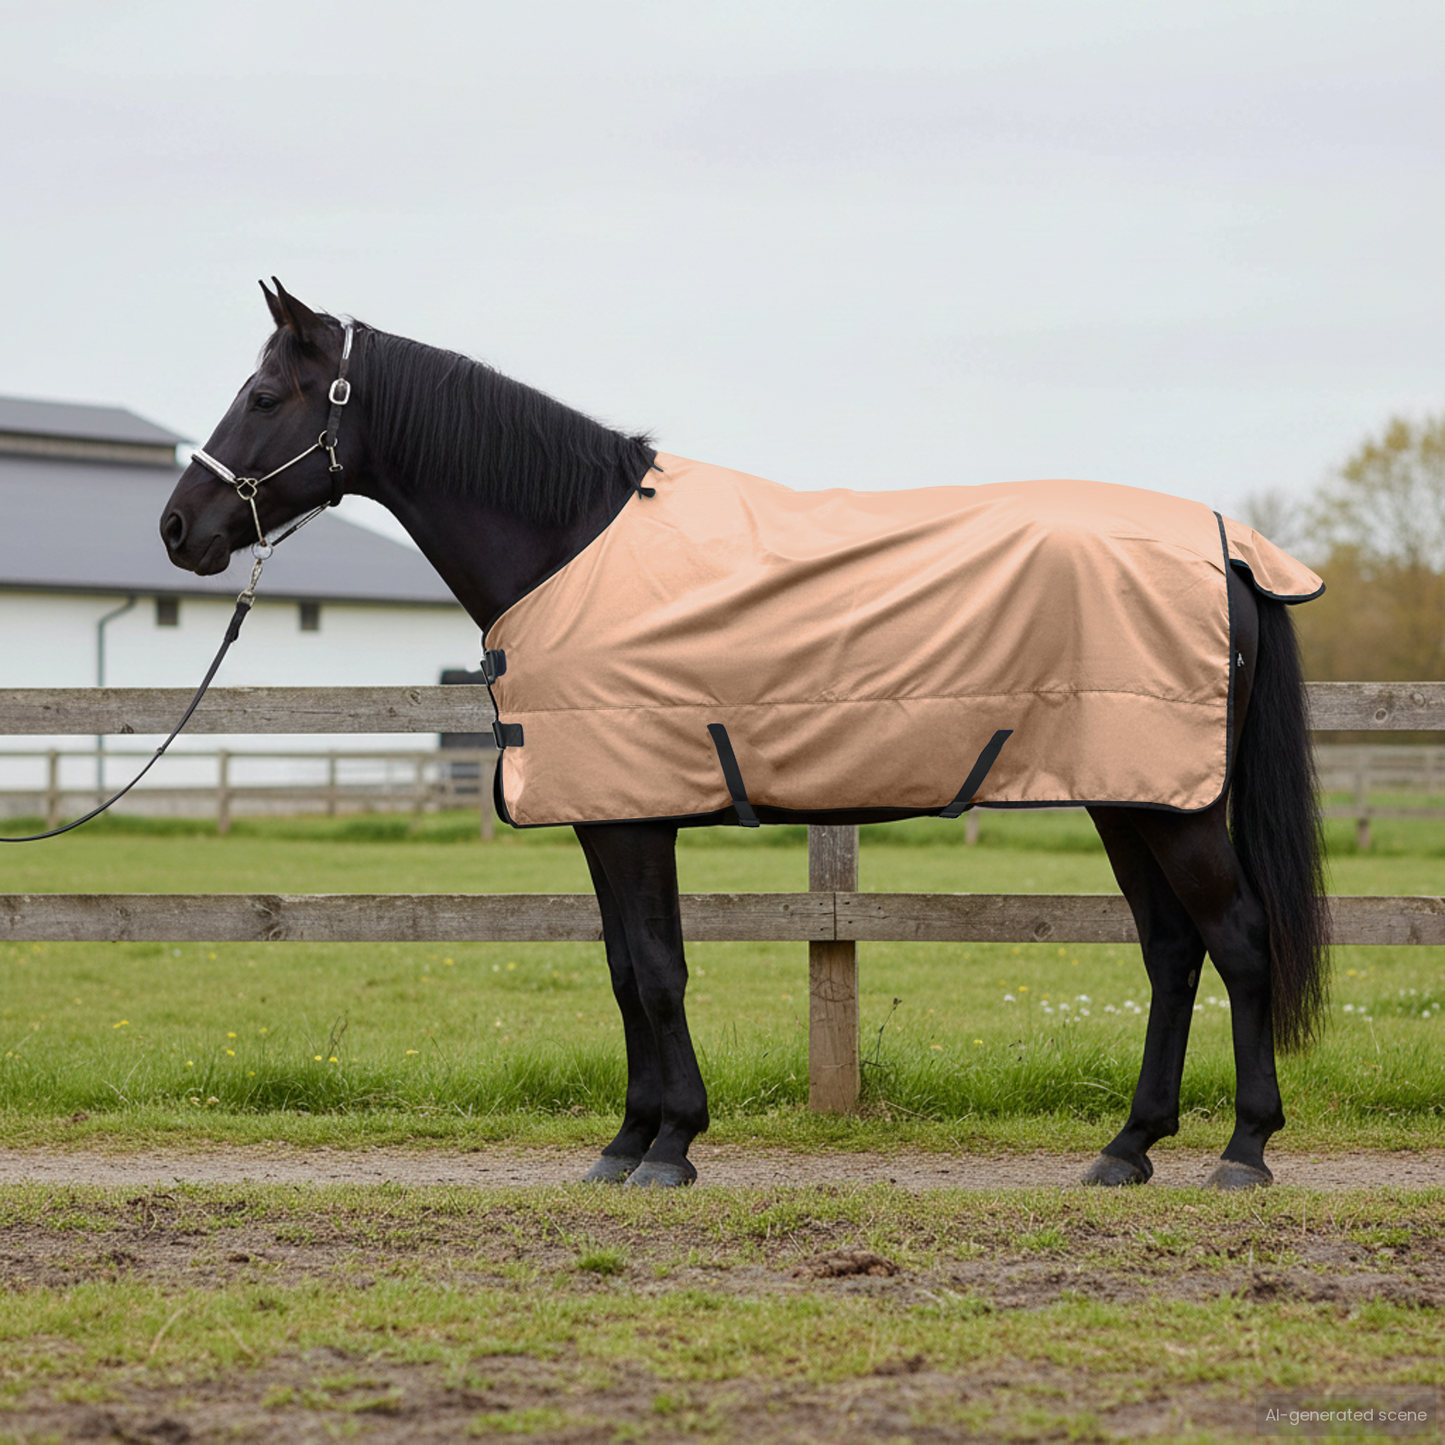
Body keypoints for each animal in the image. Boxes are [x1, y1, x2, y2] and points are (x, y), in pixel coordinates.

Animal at [160, 280, 1329, 1191]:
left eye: (262, 396)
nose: (178, 528)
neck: (567, 540)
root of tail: (1228, 547)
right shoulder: (609, 815)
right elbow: (625, 968)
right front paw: (628, 1139)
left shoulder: (632, 818)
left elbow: (656, 970)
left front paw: (669, 1143)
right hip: (1128, 795)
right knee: (1171, 949)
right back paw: (1127, 1147)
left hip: (1168, 805)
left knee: (1237, 940)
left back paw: (1242, 1150)